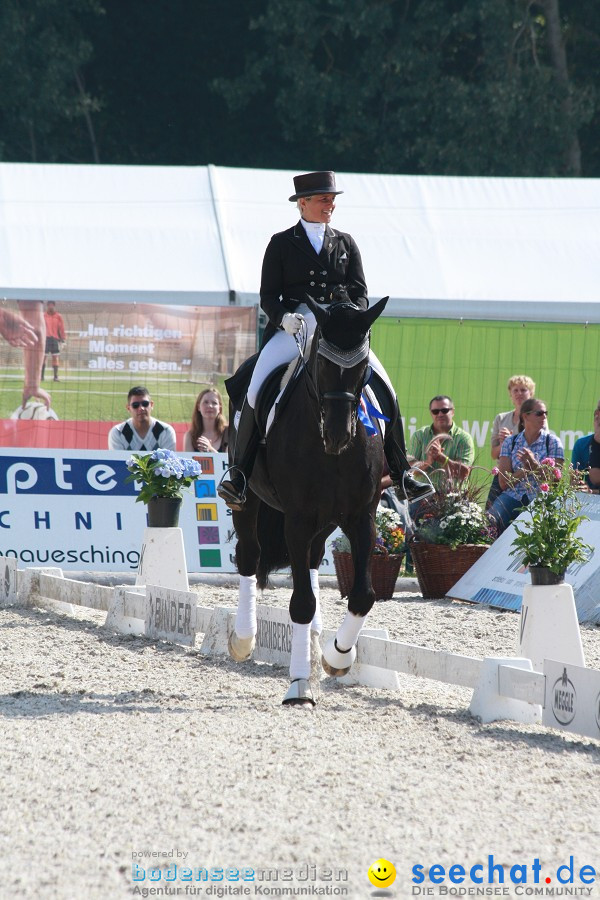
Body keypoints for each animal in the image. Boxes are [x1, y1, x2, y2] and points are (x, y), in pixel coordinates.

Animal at [225, 294, 390, 704]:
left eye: (362, 366)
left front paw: (337, 657)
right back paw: (244, 639)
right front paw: (299, 685)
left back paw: (316, 644)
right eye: (321, 363)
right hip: (247, 498)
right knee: (249, 556)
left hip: (326, 521)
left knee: (313, 562)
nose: (337, 434)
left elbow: (363, 595)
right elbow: (300, 603)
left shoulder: (361, 517)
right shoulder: (297, 520)